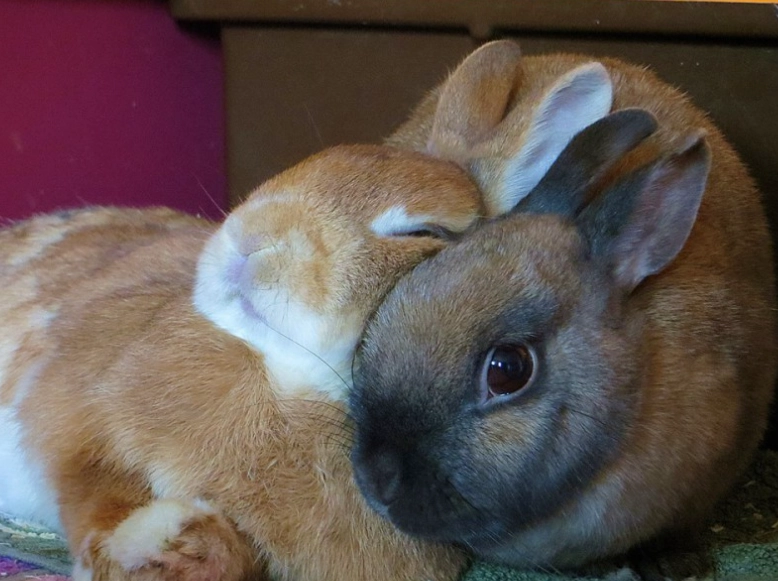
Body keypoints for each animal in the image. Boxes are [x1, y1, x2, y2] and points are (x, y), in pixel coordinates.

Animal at [0, 144, 488, 581]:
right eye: (308, 161)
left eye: (423, 234)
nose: (252, 235)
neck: (288, 380)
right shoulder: (71, 416)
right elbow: (95, 489)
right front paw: (153, 548)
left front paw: (180, 551)